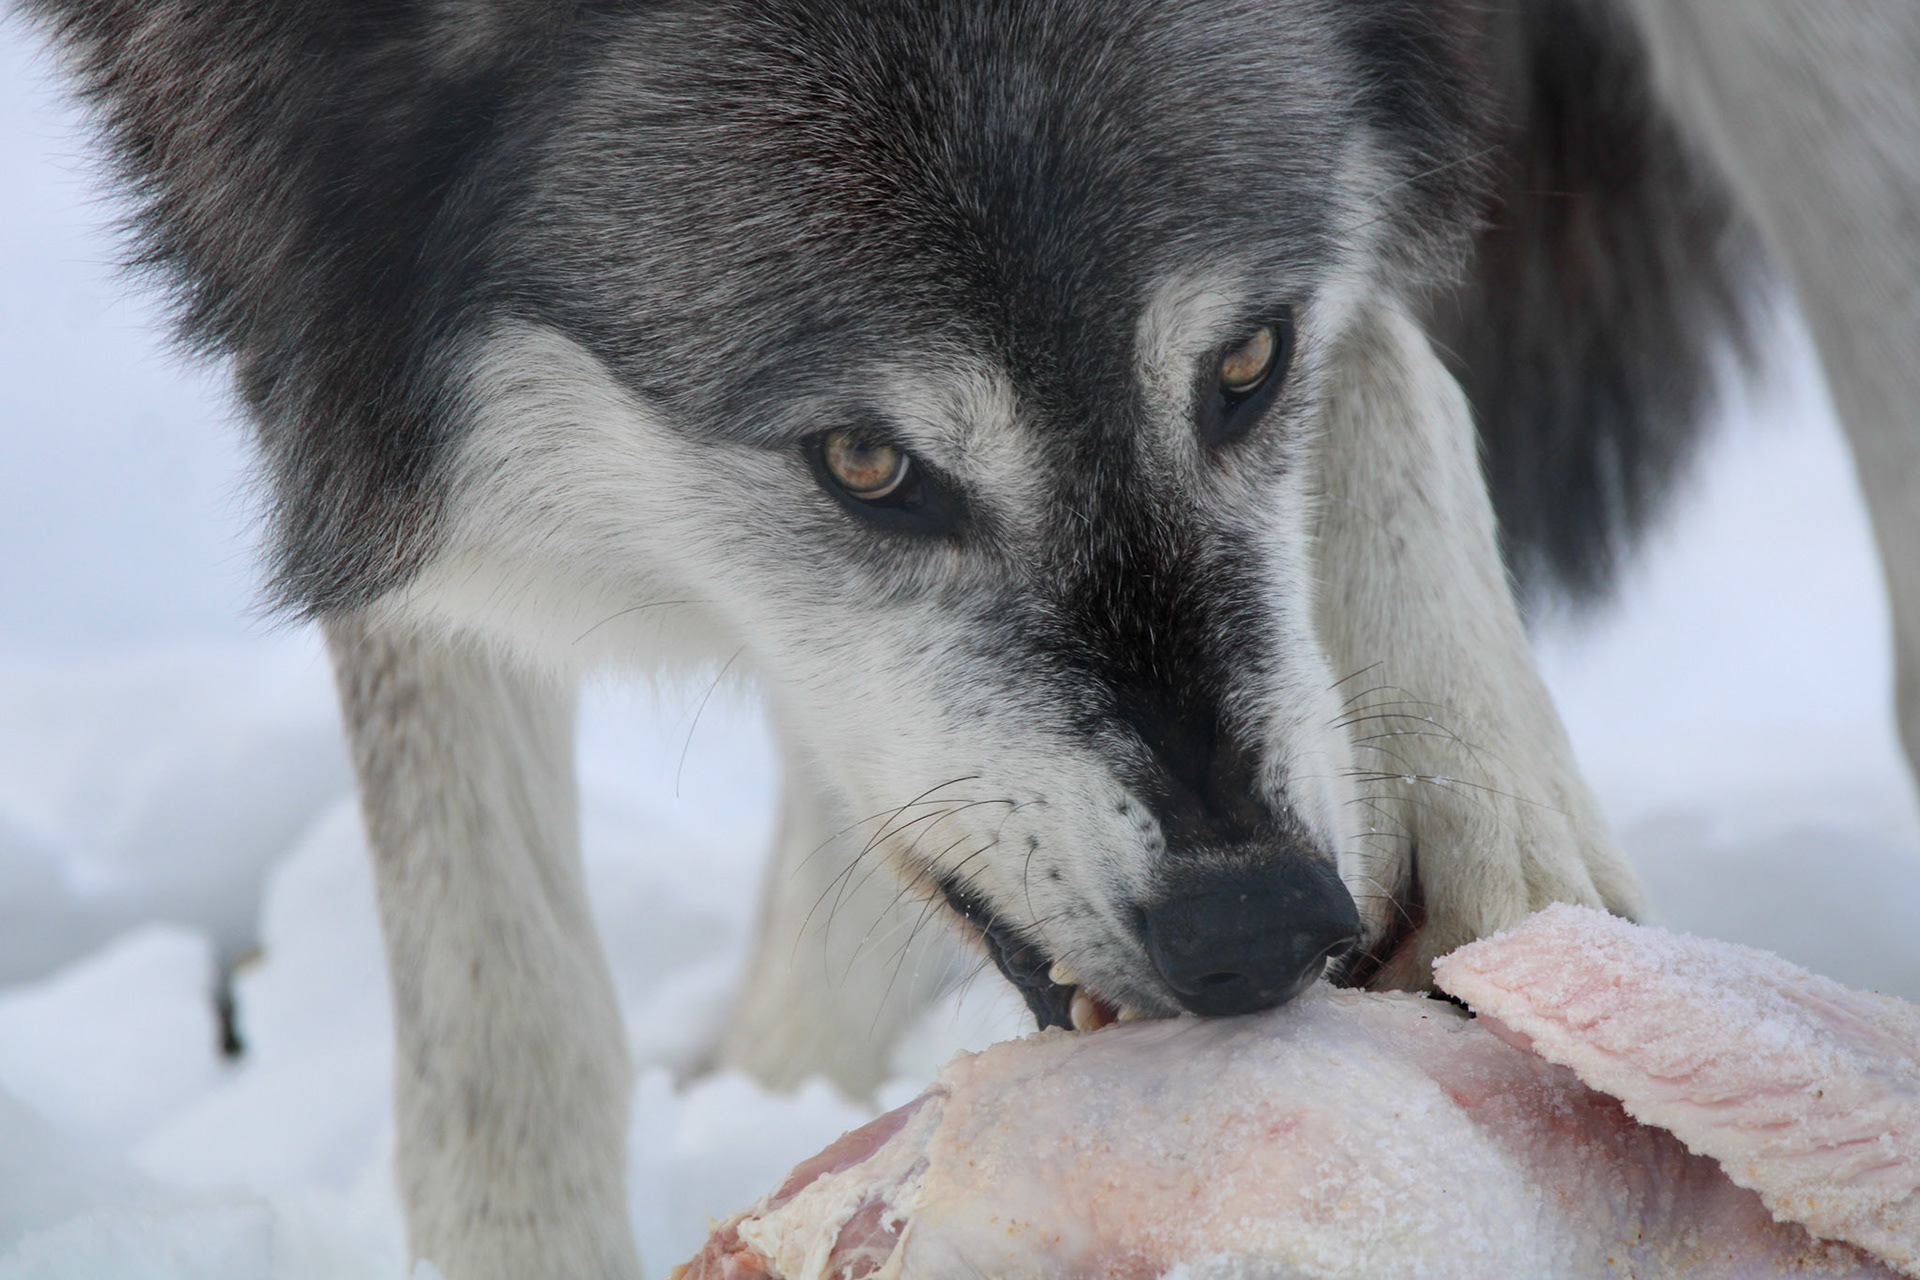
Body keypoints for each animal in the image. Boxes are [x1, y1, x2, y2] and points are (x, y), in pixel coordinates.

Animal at [18, 0, 1918, 1275]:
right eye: (866, 463)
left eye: (1246, 365)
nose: (1257, 924)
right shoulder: (304, 296)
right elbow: (501, 1000)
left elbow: (1383, 330)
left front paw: (1478, 804)